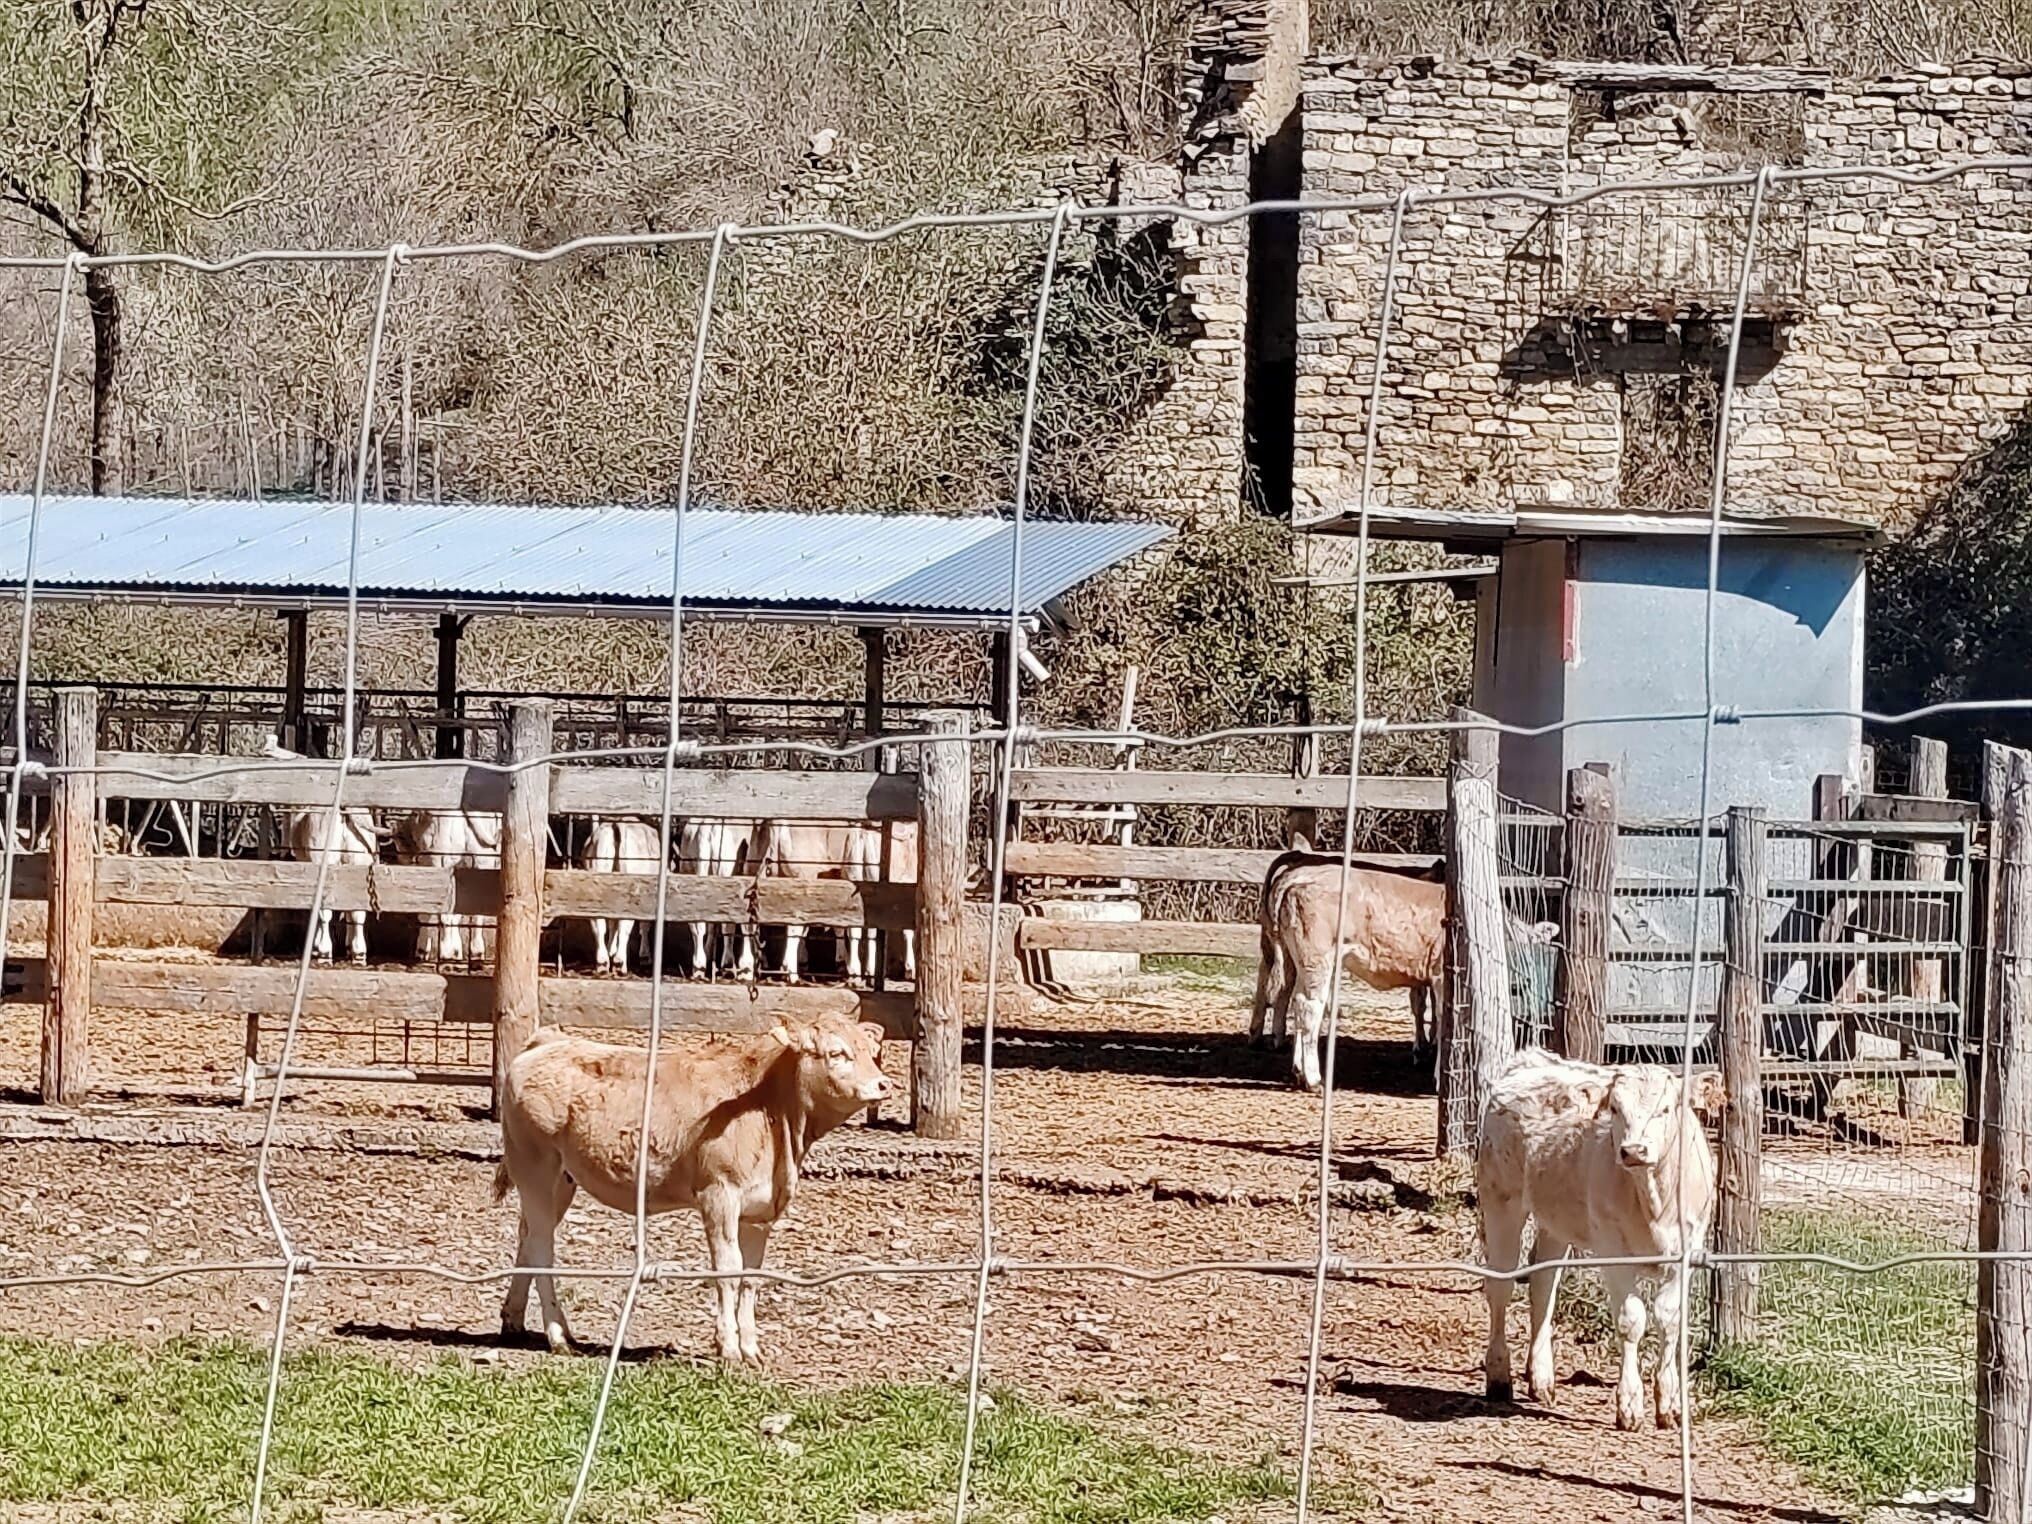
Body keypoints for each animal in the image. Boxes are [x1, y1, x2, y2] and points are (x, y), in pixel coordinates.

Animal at [492, 1014, 893, 1363]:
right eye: (837, 1052)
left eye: (871, 1051)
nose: (882, 1084)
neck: (771, 1108)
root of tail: (549, 1042)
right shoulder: (719, 1194)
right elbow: (729, 1269)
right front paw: (728, 1348)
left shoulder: (760, 1211)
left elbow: (751, 1277)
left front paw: (751, 1349)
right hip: (535, 1167)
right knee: (541, 1247)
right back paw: (559, 1334)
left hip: (561, 1181)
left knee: (527, 1236)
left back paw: (514, 1319)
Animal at [581, 815, 663, 974]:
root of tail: (617, 824)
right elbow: (644, 925)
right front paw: (645, 956)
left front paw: (611, 949)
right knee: (625, 923)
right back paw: (620, 963)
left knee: (599, 923)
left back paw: (603, 962)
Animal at [676, 817, 759, 980]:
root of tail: (707, 831)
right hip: (726, 873)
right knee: (727, 923)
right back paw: (727, 965)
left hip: (691, 873)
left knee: (698, 922)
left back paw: (699, 965)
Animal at [1477, 1048, 1726, 1431]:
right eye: (1615, 1109)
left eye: (1666, 1108)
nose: (1634, 1150)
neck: (1655, 1200)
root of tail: (1532, 1058)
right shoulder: (1613, 1248)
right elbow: (1631, 1320)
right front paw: (1630, 1405)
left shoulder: (1688, 1250)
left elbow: (1669, 1319)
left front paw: (1669, 1404)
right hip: (1501, 1199)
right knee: (1501, 1286)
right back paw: (1500, 1376)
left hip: (1555, 1222)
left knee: (1543, 1285)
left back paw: (1541, 1378)